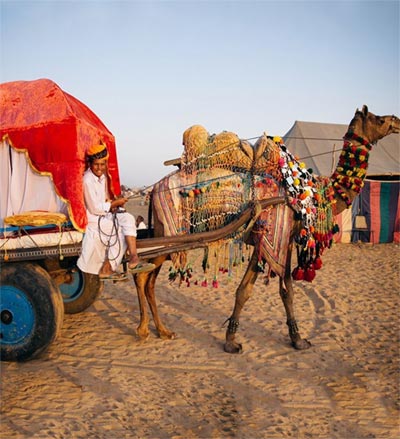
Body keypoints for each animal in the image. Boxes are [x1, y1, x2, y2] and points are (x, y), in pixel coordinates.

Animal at [133, 106, 398, 354]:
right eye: (378, 119)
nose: (396, 121)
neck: (310, 194)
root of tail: (153, 190)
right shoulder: (280, 236)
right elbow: (286, 290)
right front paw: (298, 340)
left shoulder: (266, 239)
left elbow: (245, 290)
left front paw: (231, 340)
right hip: (169, 235)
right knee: (141, 275)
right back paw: (145, 330)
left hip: (165, 236)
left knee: (147, 279)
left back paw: (162, 331)